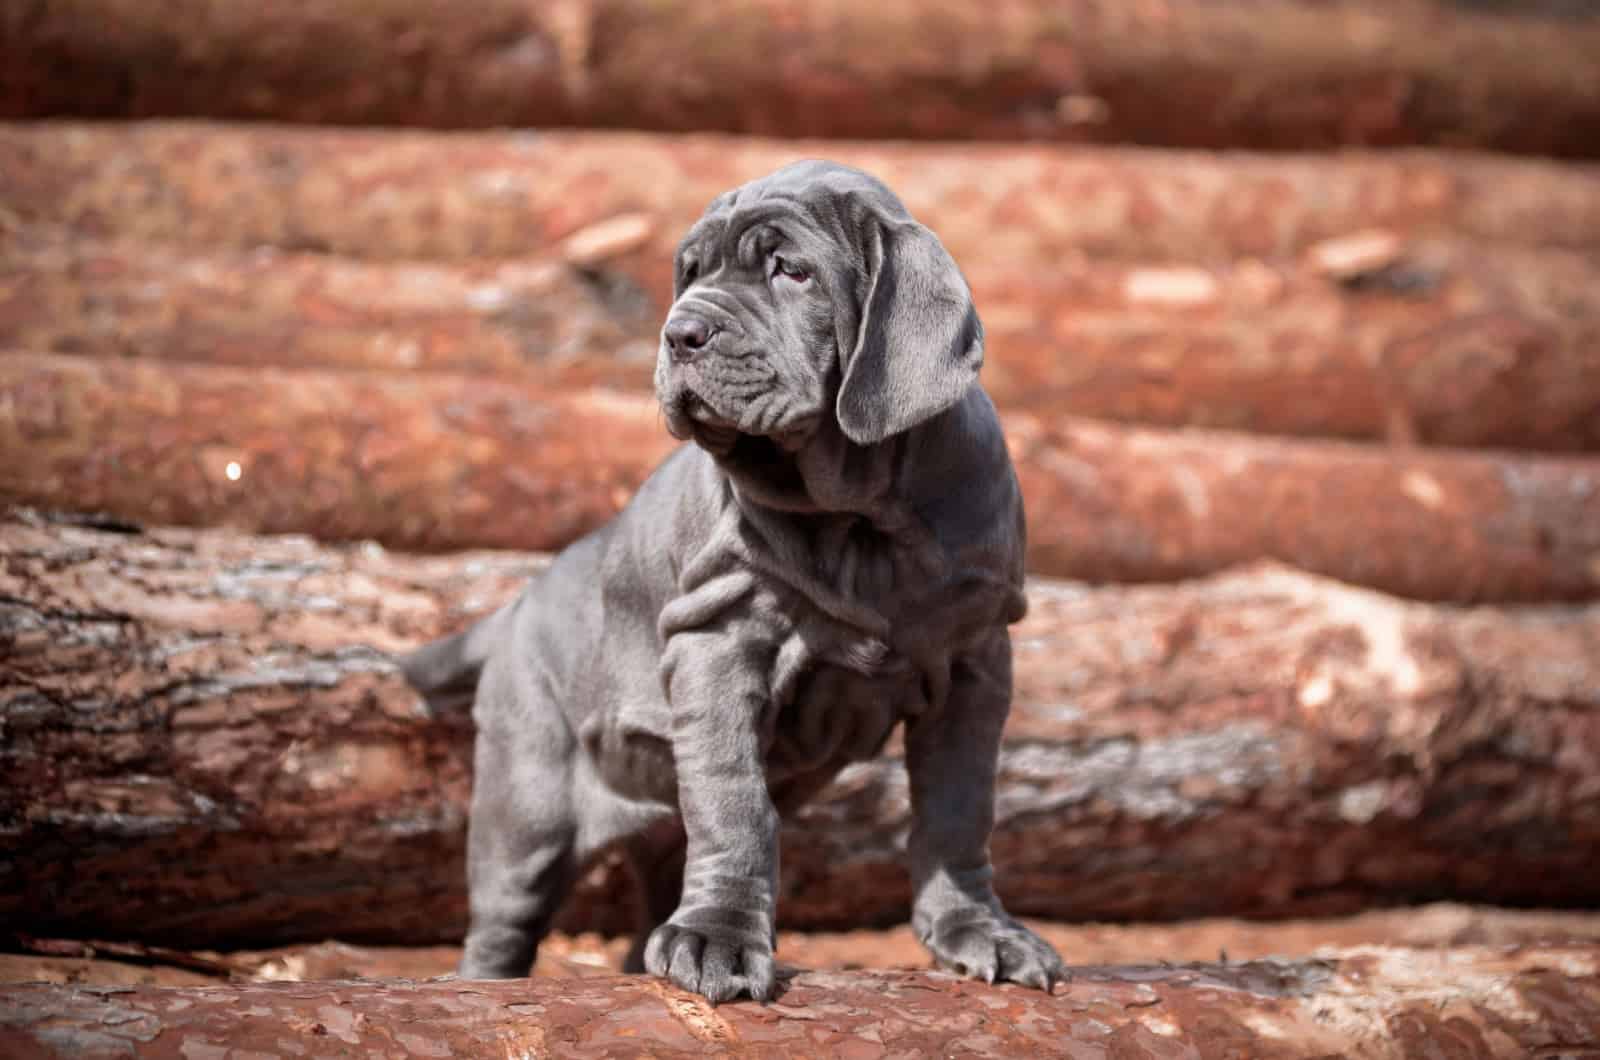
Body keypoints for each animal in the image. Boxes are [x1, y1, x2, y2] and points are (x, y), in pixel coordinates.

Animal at [406, 160, 1068, 1005]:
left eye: (790, 269)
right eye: (690, 273)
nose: (679, 332)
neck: (861, 518)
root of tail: (516, 606)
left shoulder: (977, 658)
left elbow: (959, 807)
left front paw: (982, 933)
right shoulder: (719, 639)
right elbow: (735, 802)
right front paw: (718, 939)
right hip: (526, 808)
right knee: (500, 923)